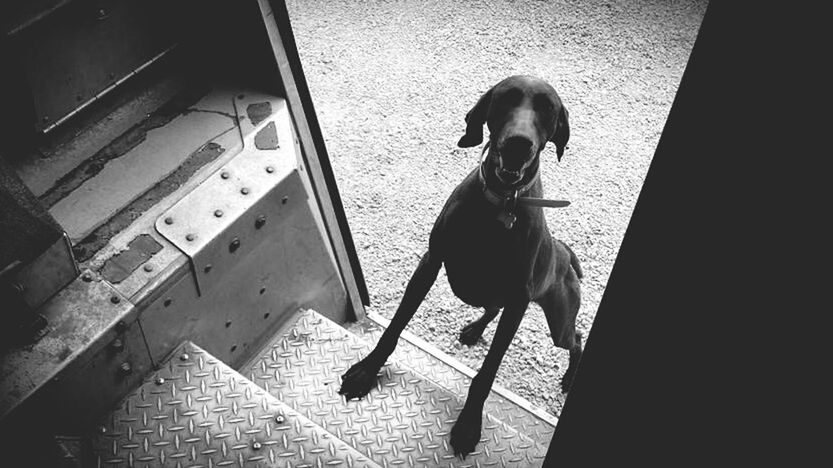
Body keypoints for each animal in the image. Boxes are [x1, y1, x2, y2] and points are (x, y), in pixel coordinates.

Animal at [338, 76, 584, 458]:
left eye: (547, 108)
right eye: (506, 98)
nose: (518, 144)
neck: (501, 205)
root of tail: (563, 251)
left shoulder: (518, 302)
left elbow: (487, 373)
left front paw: (468, 424)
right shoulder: (430, 262)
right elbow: (395, 327)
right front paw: (367, 371)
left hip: (558, 320)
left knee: (577, 339)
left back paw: (570, 376)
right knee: (493, 308)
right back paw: (473, 330)